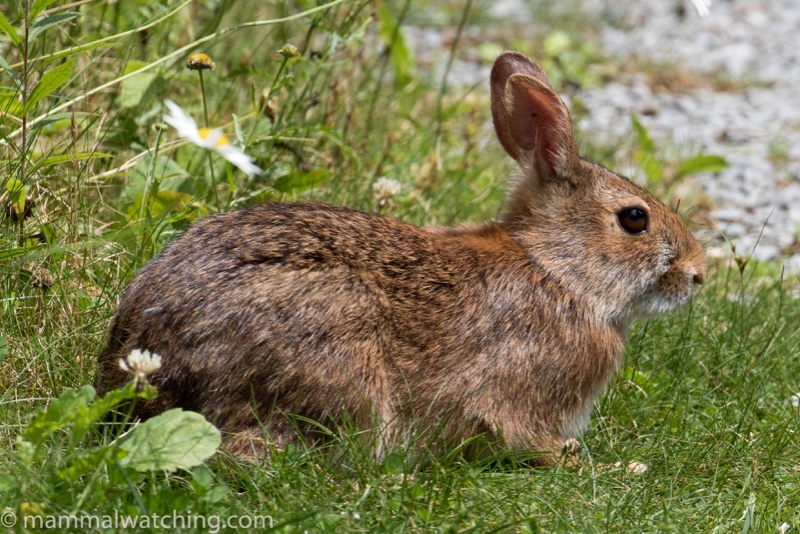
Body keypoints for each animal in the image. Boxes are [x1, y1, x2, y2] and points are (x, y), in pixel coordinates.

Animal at [95, 52, 708, 466]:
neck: (556, 269)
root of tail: (146, 362)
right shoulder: (516, 395)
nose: (698, 273)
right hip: (338, 353)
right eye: (635, 219)